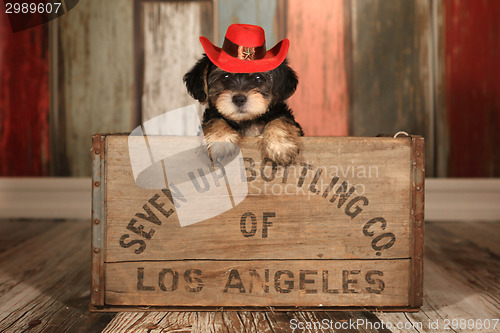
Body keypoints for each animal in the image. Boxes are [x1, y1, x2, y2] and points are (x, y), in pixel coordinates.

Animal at [183, 23, 302, 165]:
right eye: (225, 77)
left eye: (258, 78)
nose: (239, 99)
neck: (247, 121)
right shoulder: (210, 117)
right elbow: (215, 120)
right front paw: (220, 141)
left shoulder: (282, 114)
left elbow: (280, 120)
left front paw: (280, 145)